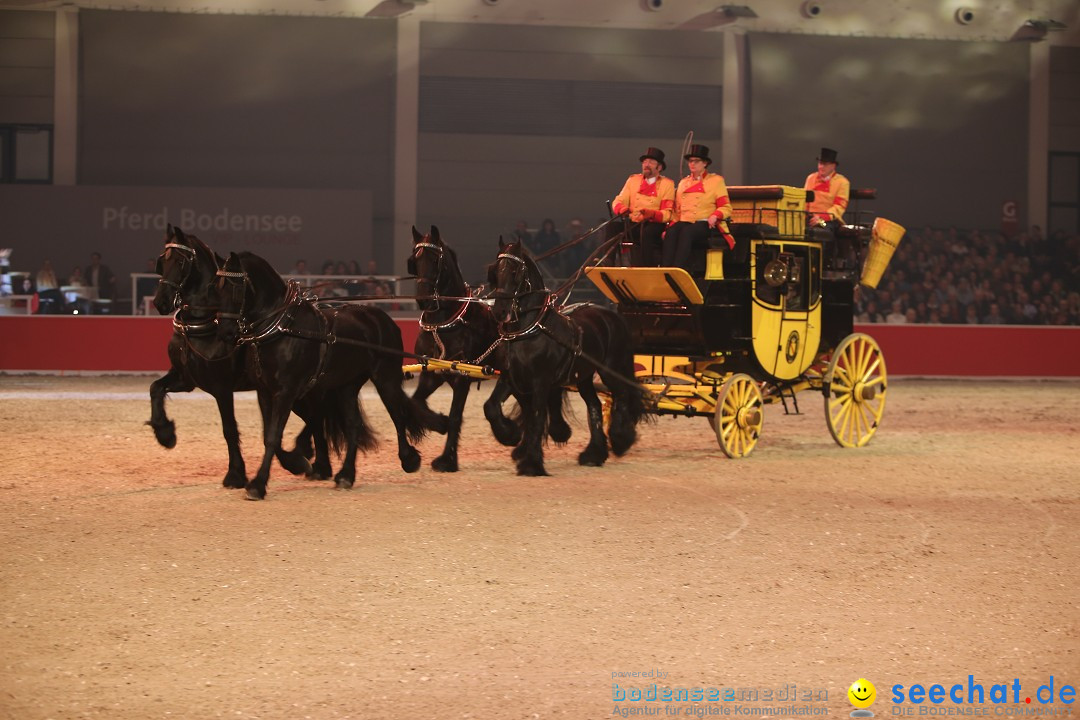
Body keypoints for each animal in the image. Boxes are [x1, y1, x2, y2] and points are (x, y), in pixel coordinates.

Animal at [146, 226, 319, 483]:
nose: (160, 301)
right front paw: (165, 433)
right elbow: (155, 388)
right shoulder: (186, 378)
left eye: (180, 261)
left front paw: (236, 473)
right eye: (161, 261)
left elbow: (231, 429)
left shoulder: (222, 387)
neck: (203, 323)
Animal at [214, 250, 434, 498]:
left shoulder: (286, 392)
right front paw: (296, 464)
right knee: (353, 424)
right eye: (216, 287)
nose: (224, 332)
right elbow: (268, 435)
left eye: (234, 286)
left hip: (385, 378)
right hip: (347, 385)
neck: (281, 328)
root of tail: (382, 317)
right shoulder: (264, 391)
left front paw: (258, 484)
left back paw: (409, 459)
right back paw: (346, 475)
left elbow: (273, 436)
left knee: (397, 415)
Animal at [486, 236, 643, 474]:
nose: (499, 311)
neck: (530, 329)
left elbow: (537, 417)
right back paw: (594, 454)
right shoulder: (509, 377)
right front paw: (510, 436)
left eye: (515, 271)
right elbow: (492, 407)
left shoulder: (541, 381)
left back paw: (620, 439)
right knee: (595, 406)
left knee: (623, 395)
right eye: (495, 271)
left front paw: (531, 463)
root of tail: (611, 314)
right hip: (584, 377)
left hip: (611, 369)